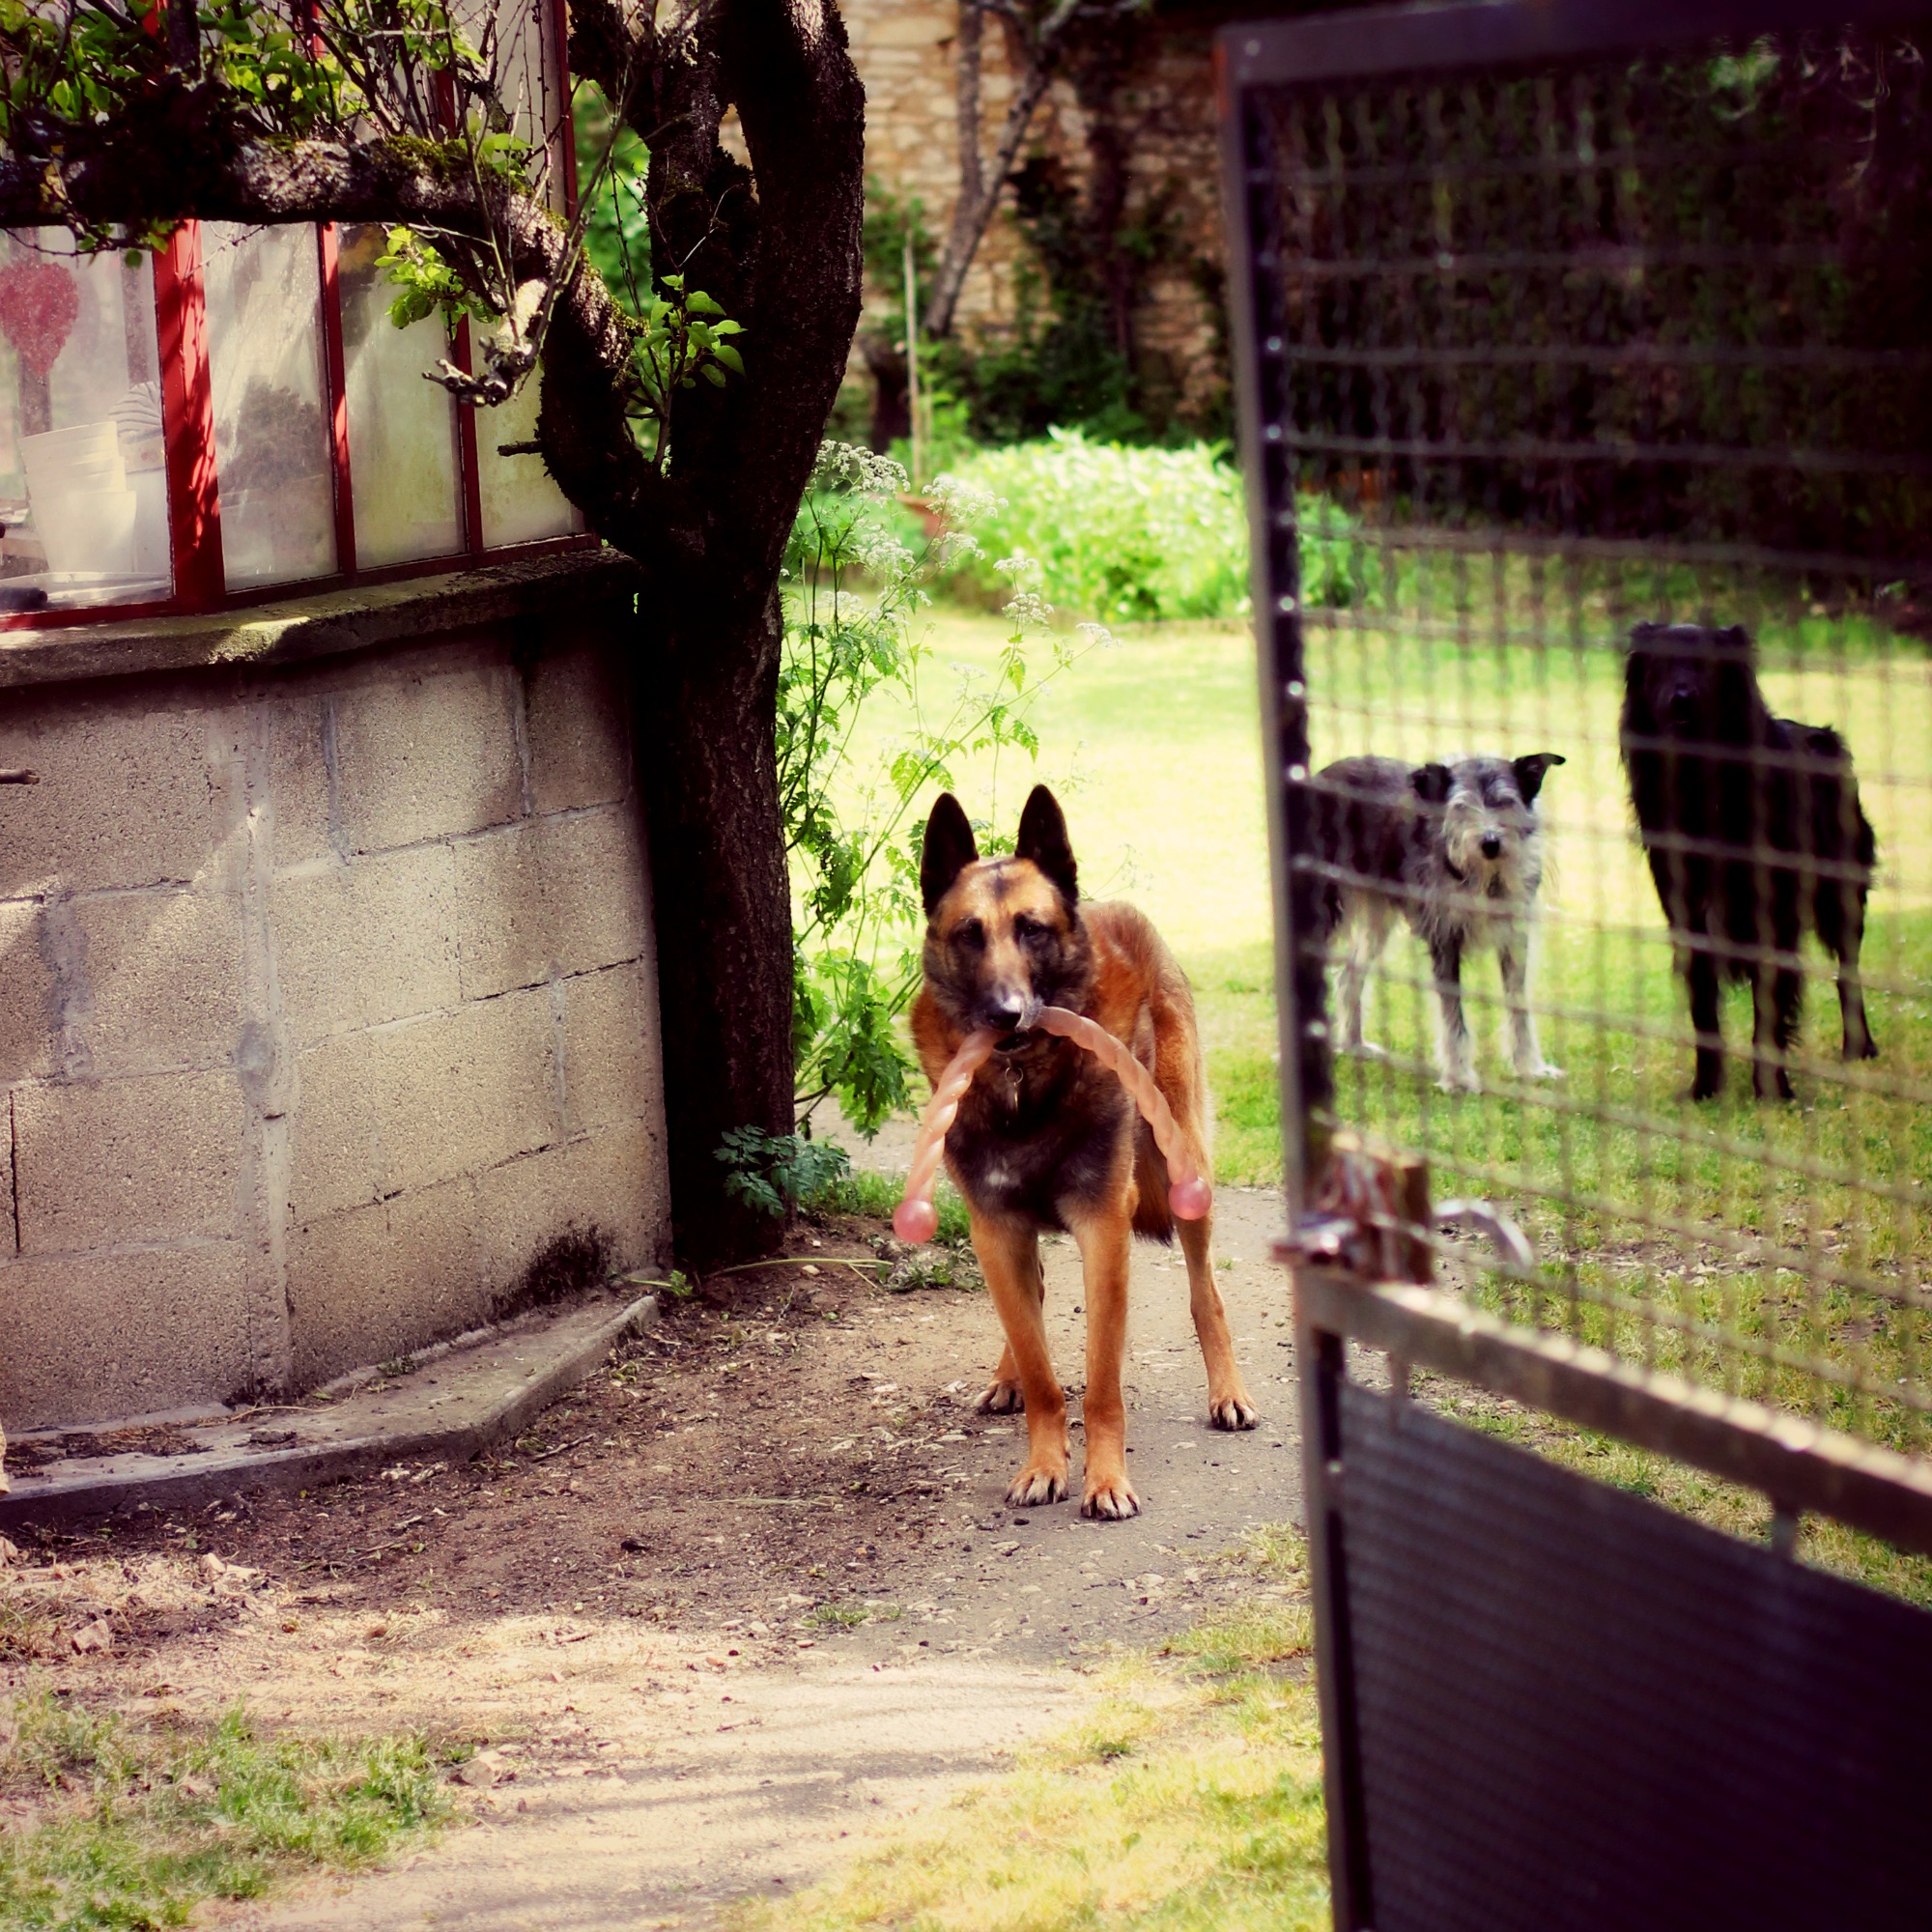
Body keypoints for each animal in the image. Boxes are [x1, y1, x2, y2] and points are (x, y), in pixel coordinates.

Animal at [912, 777, 1260, 1515]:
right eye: (969, 935)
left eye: (1033, 929)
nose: (1005, 1015)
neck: (1024, 1084)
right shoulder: (995, 1230)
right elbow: (1043, 1368)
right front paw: (1044, 1462)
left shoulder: (1104, 1227)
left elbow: (1101, 1382)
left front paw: (1105, 1480)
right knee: (1034, 1303)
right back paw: (1007, 1376)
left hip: (1186, 1173)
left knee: (1205, 1292)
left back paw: (1228, 1393)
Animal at [1314, 750, 1569, 1090]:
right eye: (1461, 807)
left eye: (1505, 802)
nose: (1490, 843)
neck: (1485, 879)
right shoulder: (1445, 941)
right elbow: (1453, 1016)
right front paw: (1458, 1078)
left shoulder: (1514, 941)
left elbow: (1519, 1008)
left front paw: (1529, 1067)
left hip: (1377, 922)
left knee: (1348, 978)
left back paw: (1355, 1045)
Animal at [1615, 626, 1870, 1097]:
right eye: (1661, 663)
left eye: (1707, 665)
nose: (1681, 698)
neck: (1699, 779)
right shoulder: (1687, 914)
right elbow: (1703, 1009)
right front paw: (1705, 1087)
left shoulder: (1776, 917)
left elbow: (1769, 1009)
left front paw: (1773, 1090)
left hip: (1841, 895)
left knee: (1849, 971)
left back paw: (1859, 1048)